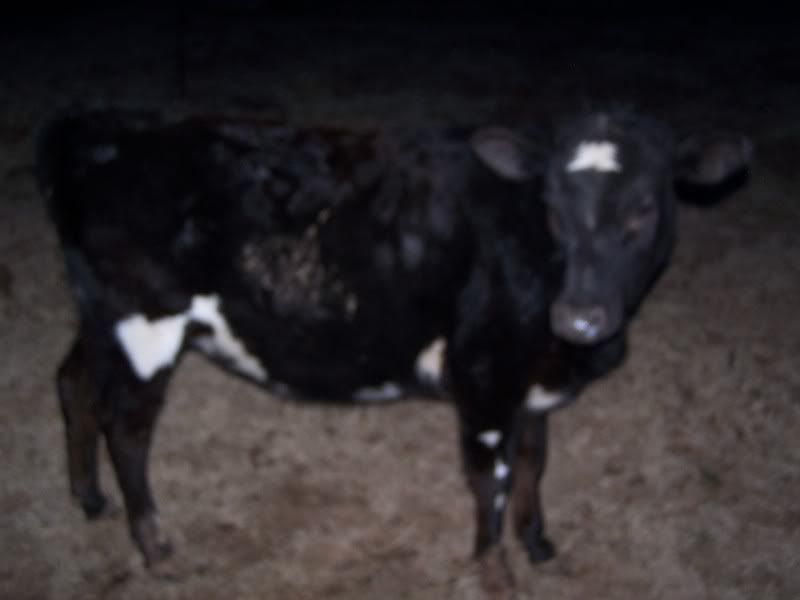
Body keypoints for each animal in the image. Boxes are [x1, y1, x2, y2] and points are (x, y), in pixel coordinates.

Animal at [36, 106, 751, 574]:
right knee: (127, 428)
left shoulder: (528, 374)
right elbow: (491, 478)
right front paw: (496, 573)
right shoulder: (486, 370)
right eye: (550, 204)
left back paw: (89, 497)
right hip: (145, 325)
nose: (581, 317)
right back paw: (156, 549)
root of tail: (110, 134)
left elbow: (534, 459)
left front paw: (538, 543)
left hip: (101, 314)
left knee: (73, 381)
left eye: (645, 207)